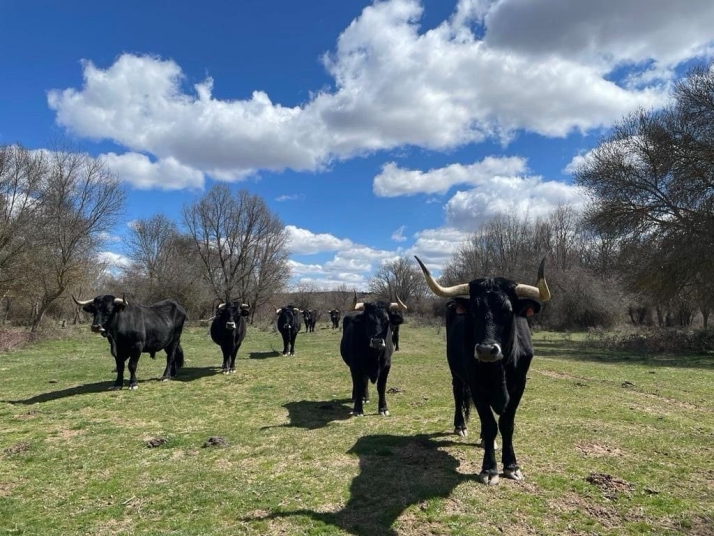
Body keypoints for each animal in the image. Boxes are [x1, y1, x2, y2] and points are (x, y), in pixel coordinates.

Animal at [415, 255, 551, 485]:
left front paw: (512, 466)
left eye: (508, 311)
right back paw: (461, 426)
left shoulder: (519, 385)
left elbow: (506, 423)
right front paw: (489, 469)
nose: (486, 350)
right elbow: (489, 424)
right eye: (473, 311)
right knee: (458, 394)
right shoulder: (476, 385)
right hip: (457, 374)